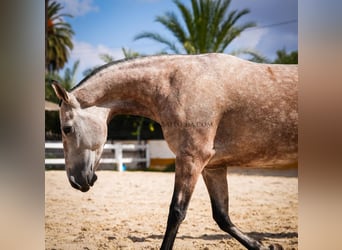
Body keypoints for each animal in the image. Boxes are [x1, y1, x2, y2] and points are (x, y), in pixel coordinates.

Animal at [52, 53, 298, 250]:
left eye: (66, 129)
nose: (75, 180)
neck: (173, 86)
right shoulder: (213, 167)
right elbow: (222, 215)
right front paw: (263, 246)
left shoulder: (191, 159)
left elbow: (176, 212)